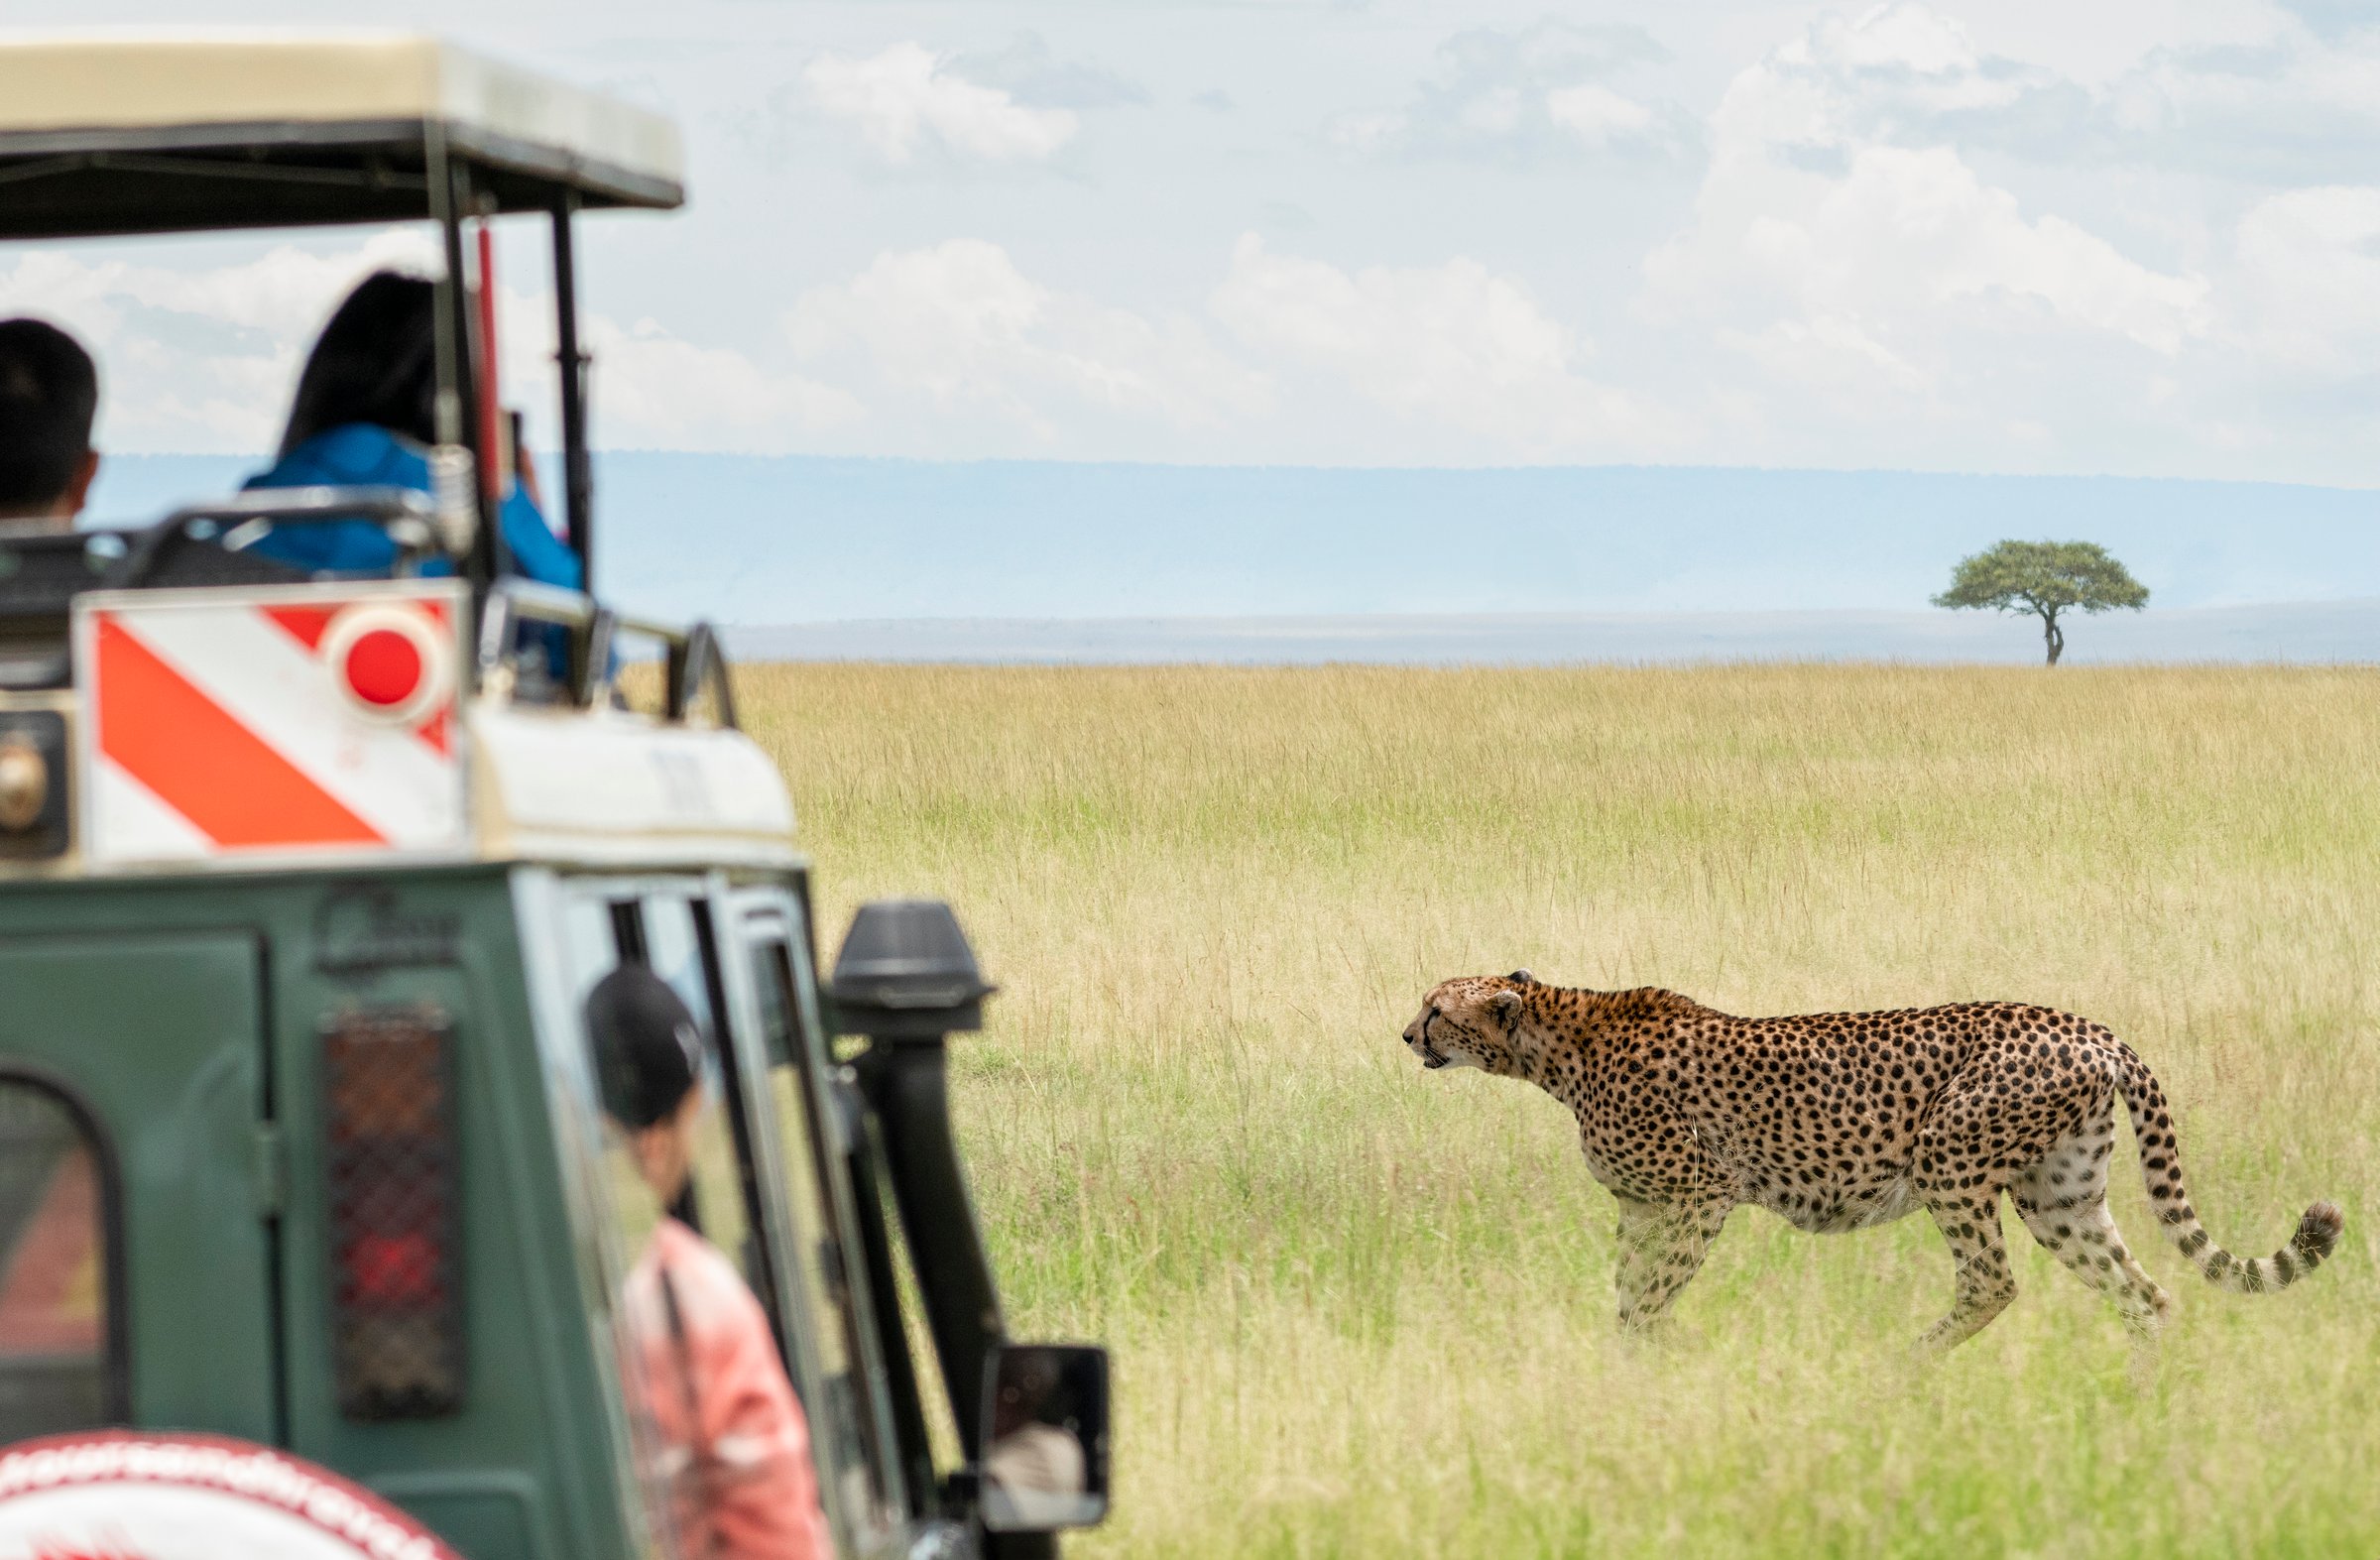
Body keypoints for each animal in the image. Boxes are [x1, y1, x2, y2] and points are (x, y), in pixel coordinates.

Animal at [1402, 971, 2345, 1349]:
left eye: (1437, 1007)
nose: (1407, 1033)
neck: (1555, 1041)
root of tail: (2088, 1025)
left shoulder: (1700, 1192)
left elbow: (1646, 1295)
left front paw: (1658, 1355)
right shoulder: (1642, 1205)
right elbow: (1630, 1290)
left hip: (1948, 1156)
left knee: (1991, 1281)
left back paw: (1904, 1365)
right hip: (2060, 1192)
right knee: (2144, 1293)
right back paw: (2137, 1405)